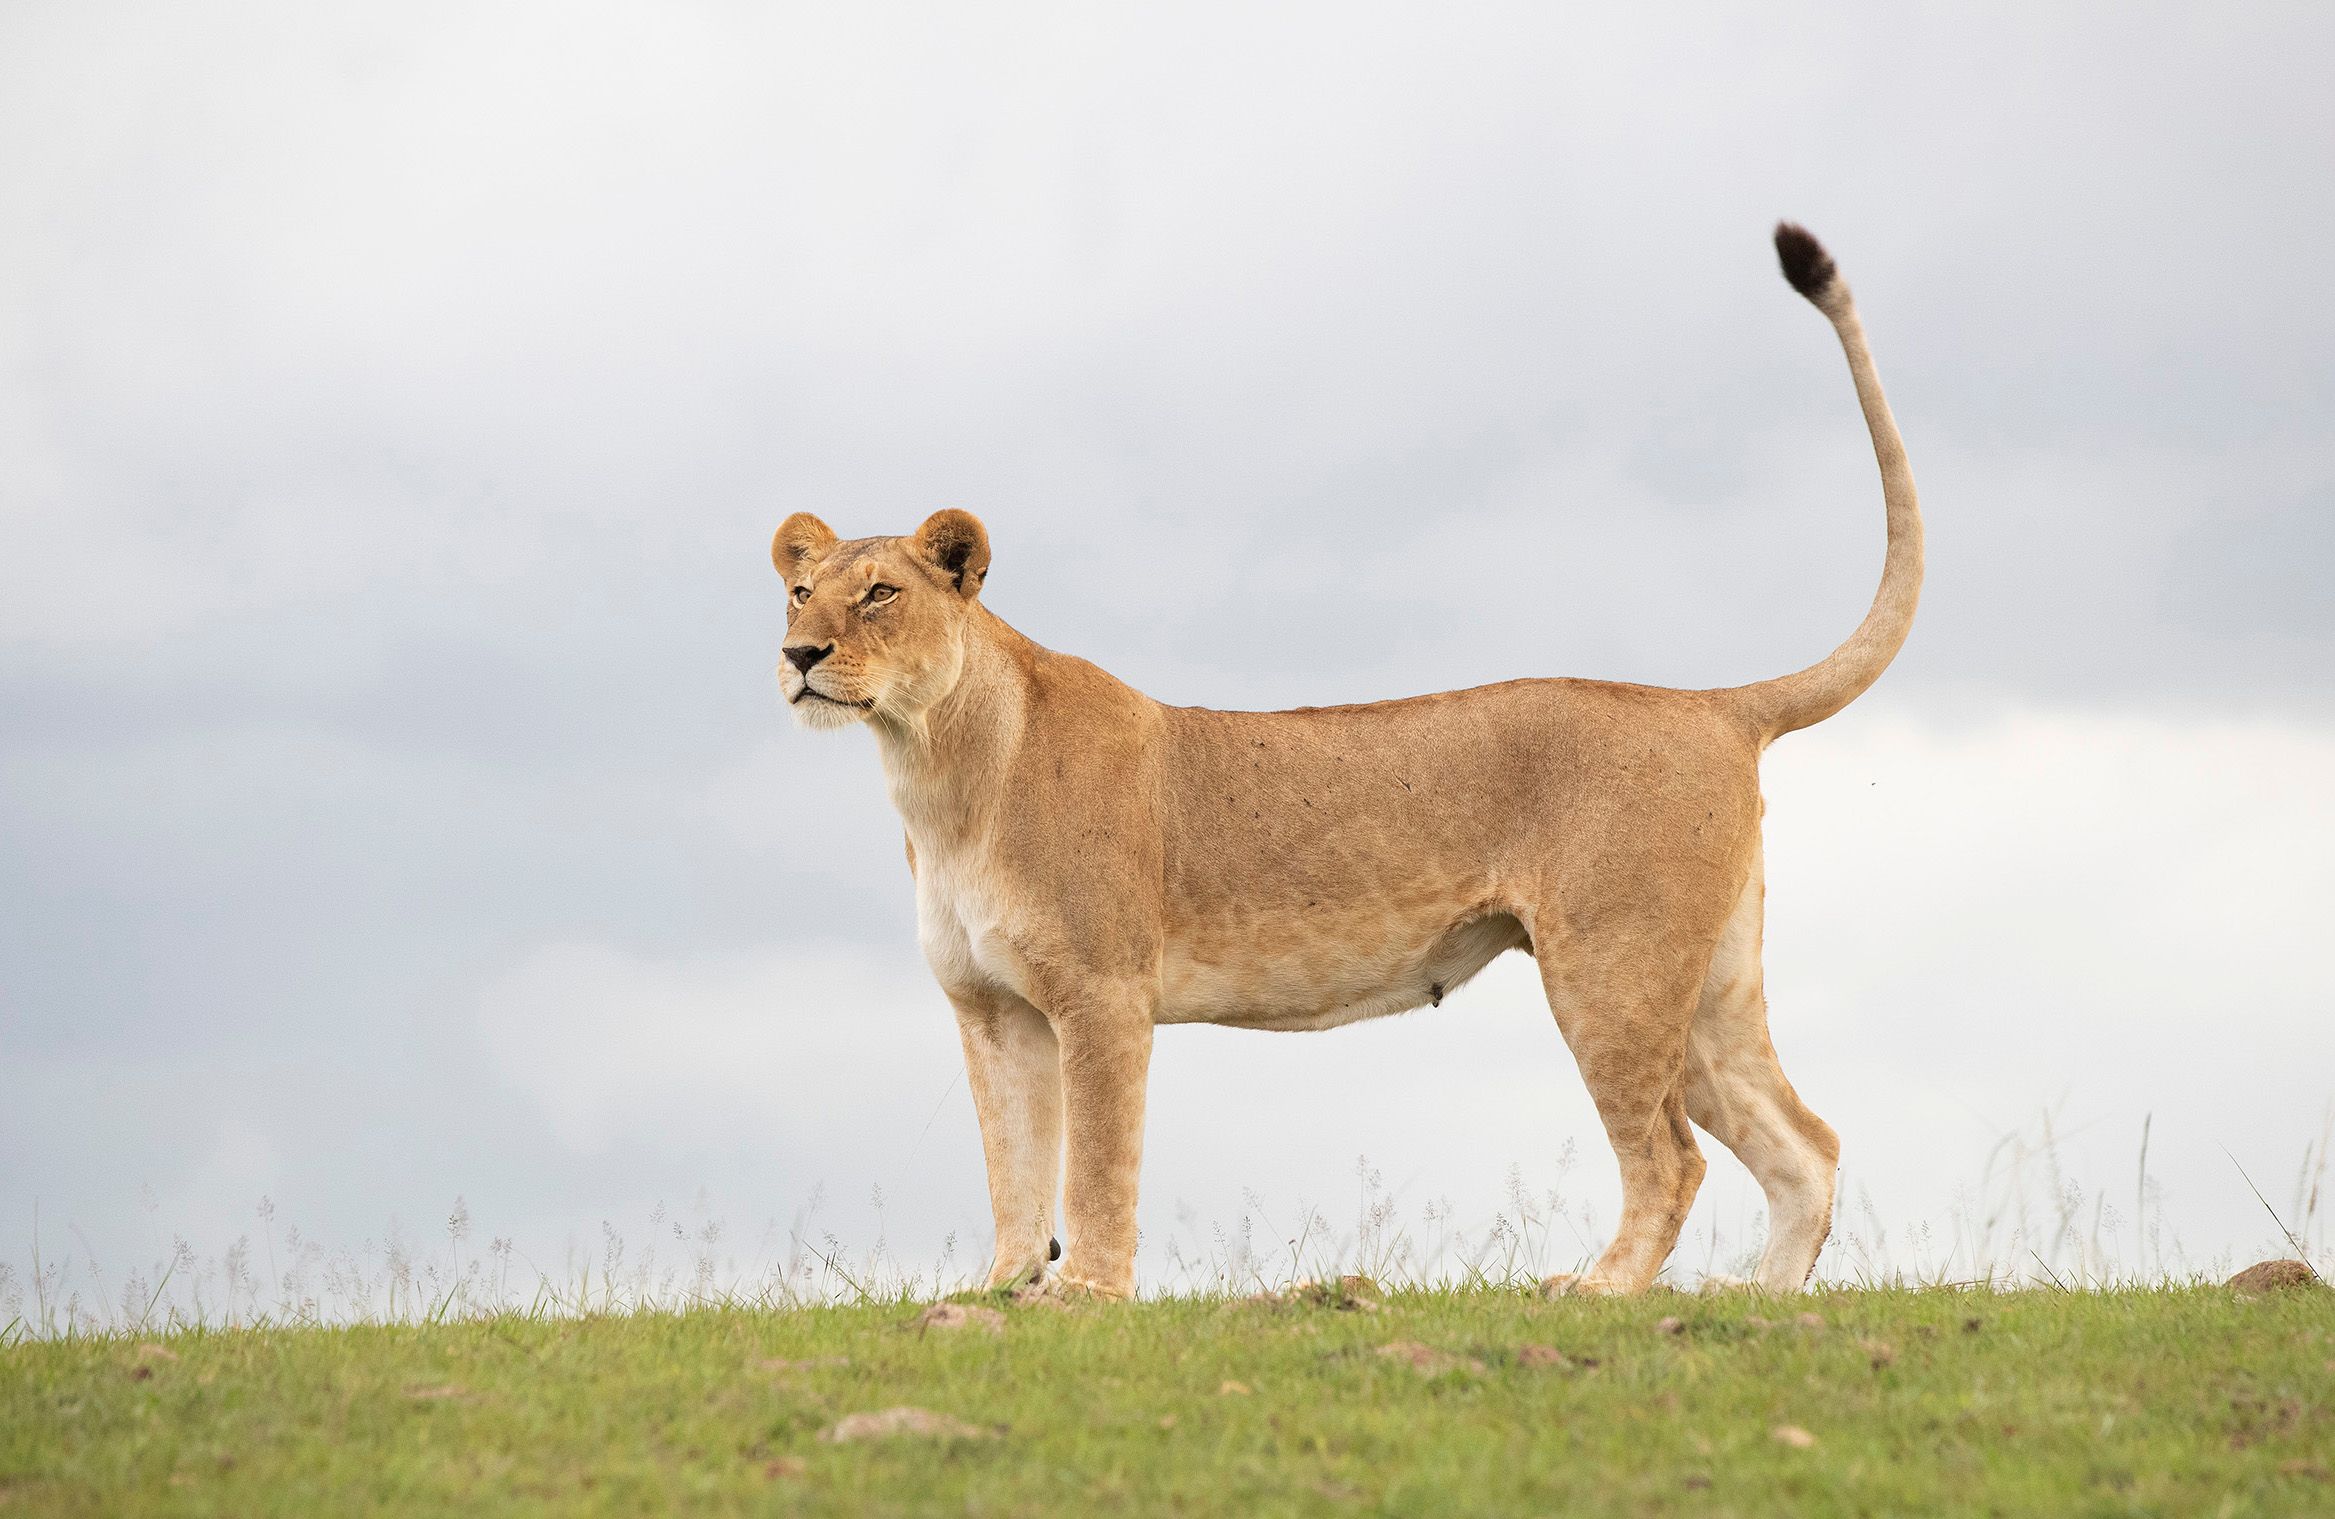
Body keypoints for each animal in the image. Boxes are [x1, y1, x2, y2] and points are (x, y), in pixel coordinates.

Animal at [770, 224, 1919, 1300]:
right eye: (800, 590)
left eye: (879, 593)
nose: (798, 655)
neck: (937, 776)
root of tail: (1710, 704)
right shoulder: (993, 1011)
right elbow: (1013, 1159)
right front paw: (1003, 1286)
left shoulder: (1101, 996)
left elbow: (1095, 1158)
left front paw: (1085, 1291)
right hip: (1710, 981)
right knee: (1804, 1144)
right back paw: (1759, 1302)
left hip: (1613, 967)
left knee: (1672, 1157)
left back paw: (1599, 1290)